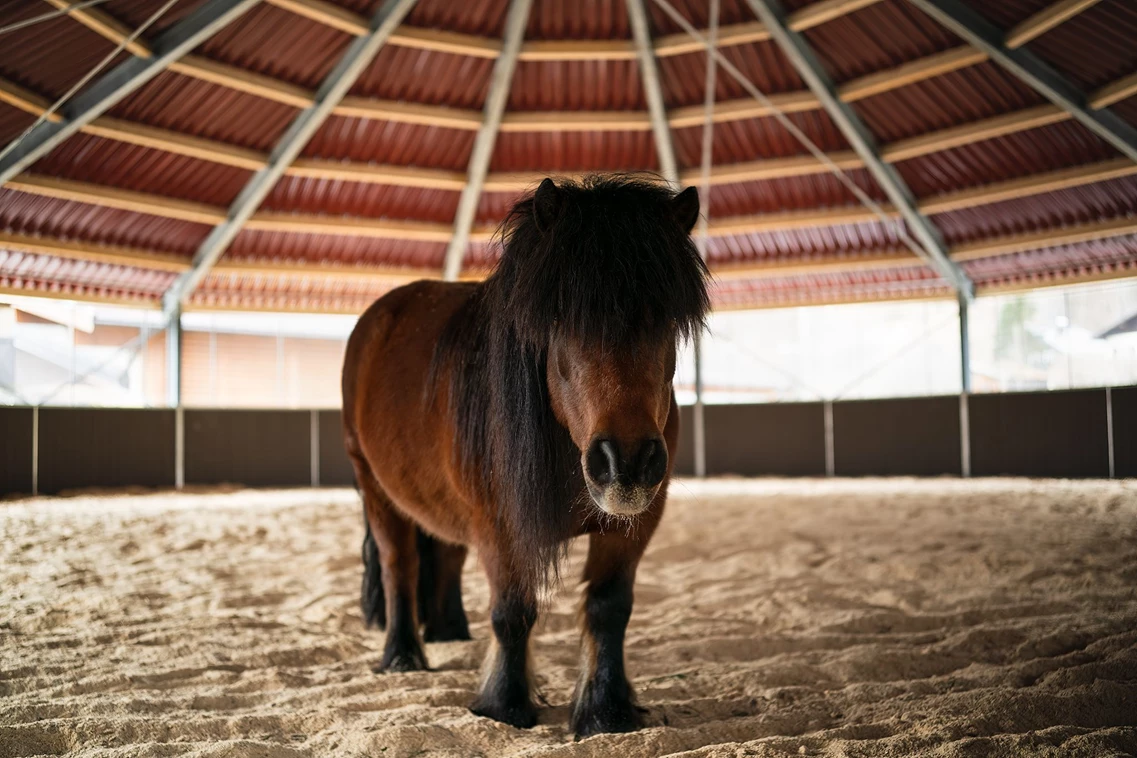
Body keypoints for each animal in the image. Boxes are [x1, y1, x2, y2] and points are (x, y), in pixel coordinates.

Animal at [341, 173, 704, 736]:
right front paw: (505, 705)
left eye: (664, 319)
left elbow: (609, 608)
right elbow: (512, 611)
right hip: (375, 486)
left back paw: (449, 629)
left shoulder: (637, 523)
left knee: (444, 551)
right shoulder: (500, 525)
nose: (625, 462)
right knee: (398, 563)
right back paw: (403, 655)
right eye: (563, 320)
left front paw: (607, 709)